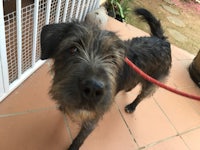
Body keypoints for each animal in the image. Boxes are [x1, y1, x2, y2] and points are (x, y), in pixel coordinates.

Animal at [39, 8, 171, 150]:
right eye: (73, 49)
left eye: (112, 58)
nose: (93, 89)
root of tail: (162, 41)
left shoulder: (93, 118)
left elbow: (80, 138)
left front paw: (73, 147)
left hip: (153, 82)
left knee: (142, 95)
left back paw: (132, 106)